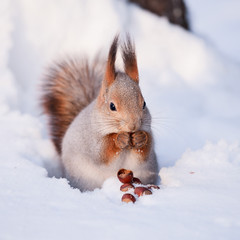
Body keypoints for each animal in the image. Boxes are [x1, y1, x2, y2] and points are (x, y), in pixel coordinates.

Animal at [41, 35, 159, 191]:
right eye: (112, 106)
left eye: (144, 104)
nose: (133, 126)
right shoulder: (91, 139)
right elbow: (101, 153)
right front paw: (119, 139)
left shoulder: (148, 131)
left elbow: (146, 150)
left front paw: (140, 138)